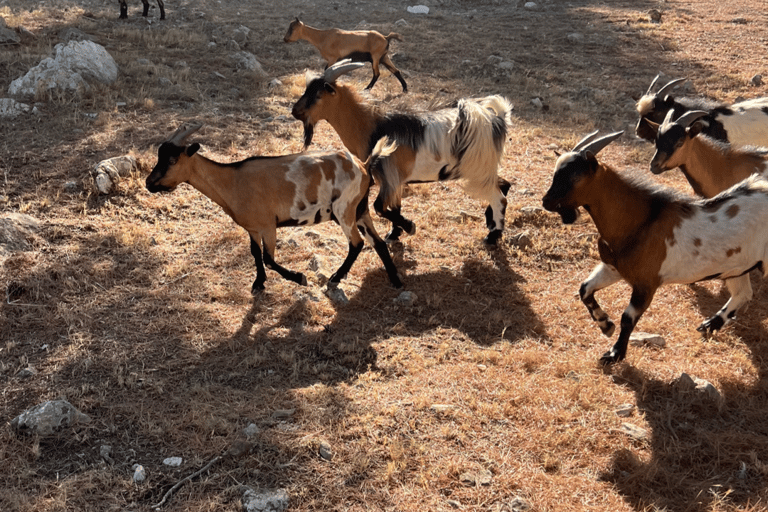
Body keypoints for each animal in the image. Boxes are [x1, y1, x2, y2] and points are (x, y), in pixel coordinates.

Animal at [146, 121, 404, 294]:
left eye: (172, 160)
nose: (149, 183)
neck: (232, 181)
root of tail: (363, 165)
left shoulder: (269, 225)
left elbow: (269, 259)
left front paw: (299, 278)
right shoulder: (253, 228)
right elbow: (255, 253)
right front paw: (258, 283)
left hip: (344, 209)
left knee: (357, 243)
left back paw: (335, 278)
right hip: (360, 209)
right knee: (378, 242)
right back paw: (395, 280)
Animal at [292, 60, 512, 246]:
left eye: (318, 94)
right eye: (307, 89)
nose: (295, 111)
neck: (373, 126)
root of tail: (497, 120)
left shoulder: (388, 176)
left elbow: (380, 207)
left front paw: (409, 226)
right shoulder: (393, 179)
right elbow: (394, 206)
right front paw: (394, 233)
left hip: (478, 169)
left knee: (500, 197)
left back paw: (493, 236)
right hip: (484, 169)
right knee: (504, 184)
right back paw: (490, 222)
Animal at [544, 130, 768, 366]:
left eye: (574, 177)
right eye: (556, 173)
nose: (546, 201)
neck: (642, 220)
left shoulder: (646, 283)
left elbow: (628, 318)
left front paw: (614, 354)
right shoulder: (613, 268)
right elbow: (585, 289)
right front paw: (605, 325)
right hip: (736, 267)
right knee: (743, 293)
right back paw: (709, 325)